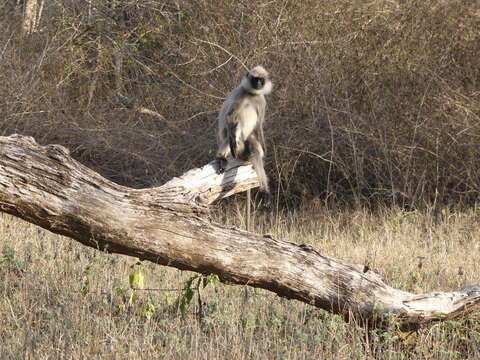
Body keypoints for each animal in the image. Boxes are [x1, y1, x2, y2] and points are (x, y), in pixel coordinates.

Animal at [216, 65, 272, 200]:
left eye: (261, 80)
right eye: (255, 79)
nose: (258, 83)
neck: (252, 95)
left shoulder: (261, 100)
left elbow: (258, 125)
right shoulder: (241, 94)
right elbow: (230, 117)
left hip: (245, 148)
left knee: (255, 149)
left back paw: (264, 190)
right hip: (237, 146)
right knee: (233, 132)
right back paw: (221, 157)